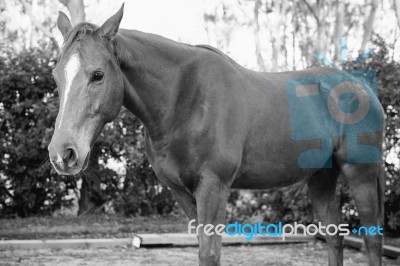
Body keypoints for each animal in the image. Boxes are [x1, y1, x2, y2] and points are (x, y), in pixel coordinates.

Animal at [47, 4, 384, 266]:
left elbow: (209, 254)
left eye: (98, 75)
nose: (63, 153)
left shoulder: (213, 187)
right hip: (321, 178)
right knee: (335, 238)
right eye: (56, 76)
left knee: (372, 240)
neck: (182, 99)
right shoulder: (182, 193)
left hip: (361, 176)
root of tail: (363, 87)